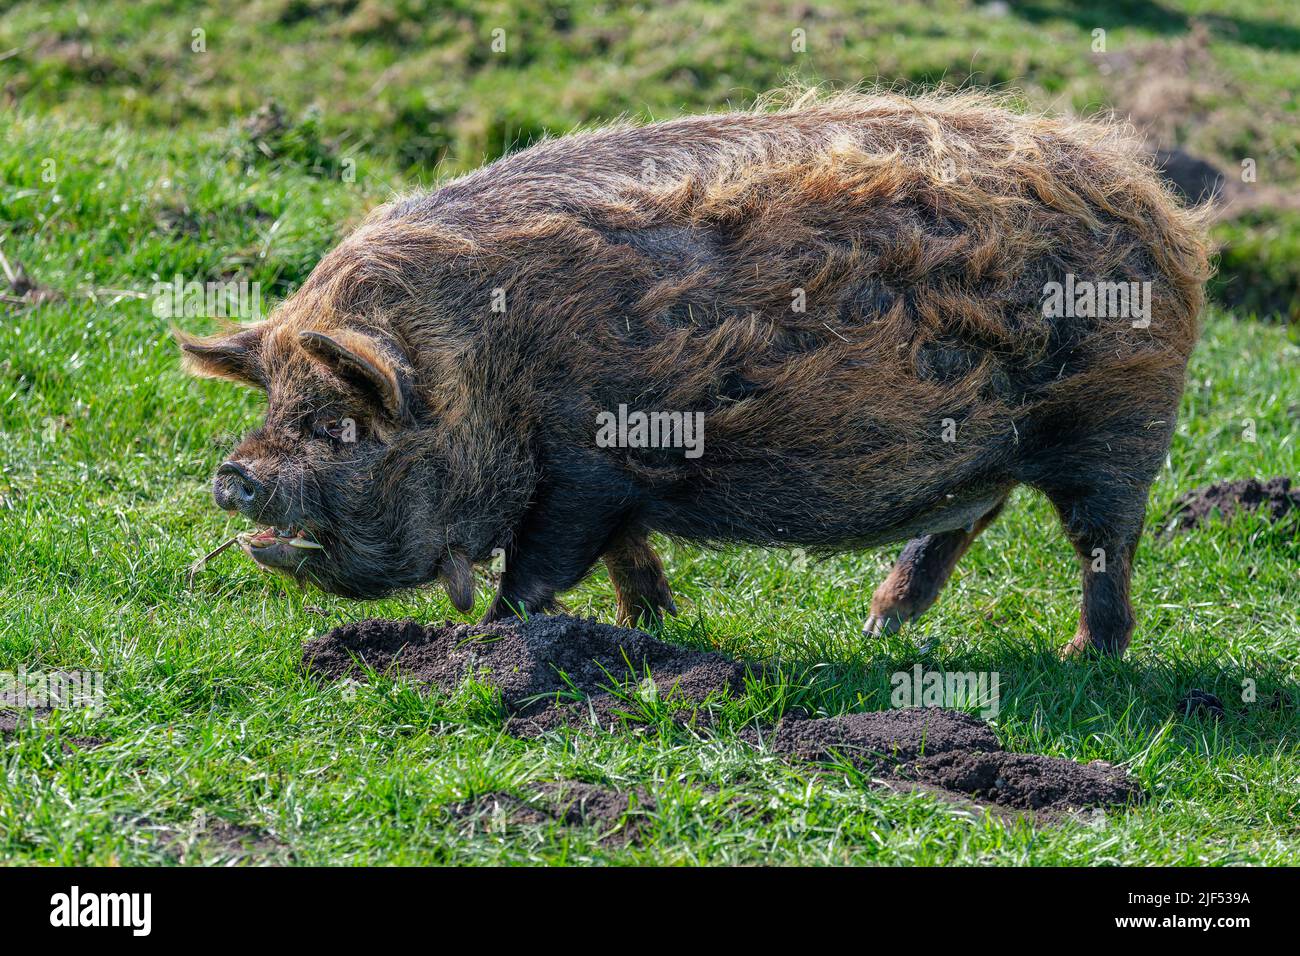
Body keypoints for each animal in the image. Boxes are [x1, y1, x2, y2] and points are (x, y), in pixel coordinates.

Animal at [178, 90, 1211, 657]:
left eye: (338, 423)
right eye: (276, 402)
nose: (234, 475)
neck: (483, 365)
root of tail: (1158, 206)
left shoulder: (584, 465)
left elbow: (541, 566)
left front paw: (493, 641)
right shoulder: (615, 479)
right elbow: (627, 556)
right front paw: (654, 631)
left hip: (1117, 426)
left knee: (1104, 541)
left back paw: (1086, 658)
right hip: (991, 449)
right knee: (964, 520)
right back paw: (877, 629)